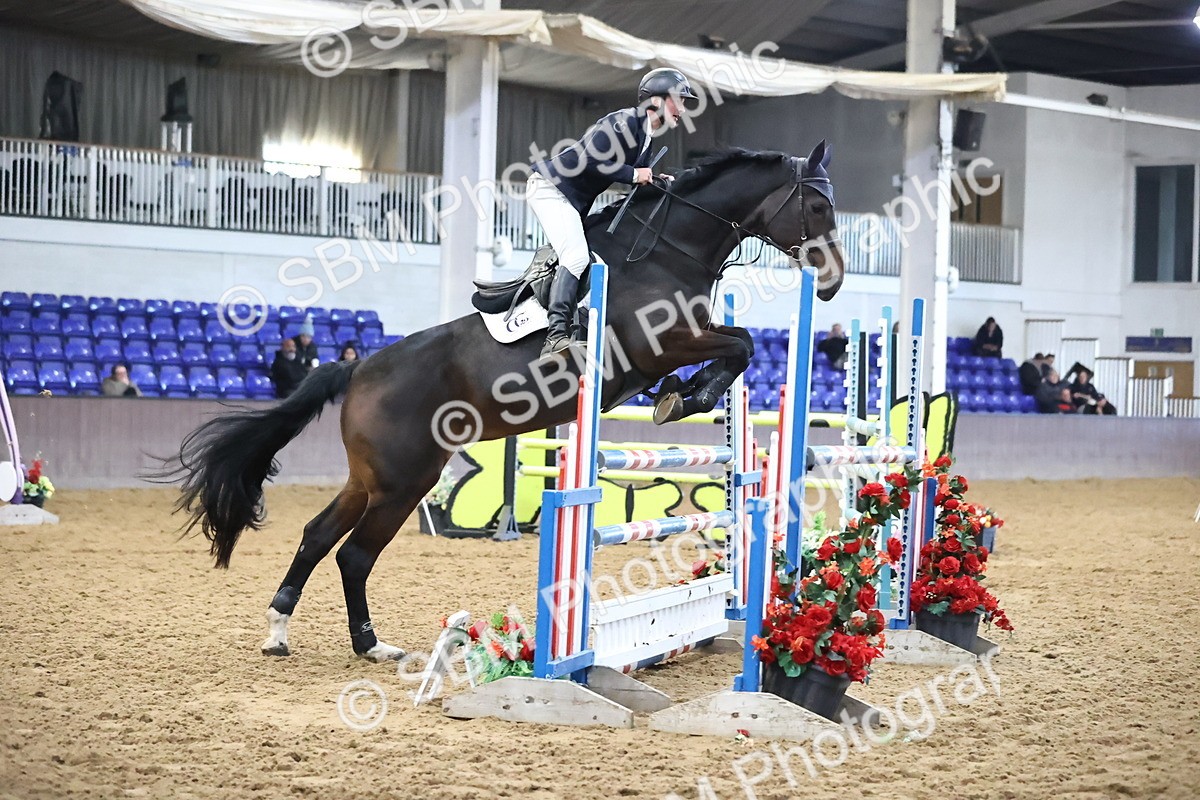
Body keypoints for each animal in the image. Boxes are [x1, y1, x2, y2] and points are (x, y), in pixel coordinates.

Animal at [159, 142, 846, 662]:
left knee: (316, 536)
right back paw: (369, 644)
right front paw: (687, 395)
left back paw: (284, 631)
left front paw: (685, 394)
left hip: (370, 478)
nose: (834, 281)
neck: (668, 252)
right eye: (817, 204)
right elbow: (740, 344)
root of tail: (357, 369)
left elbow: (738, 344)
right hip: (405, 479)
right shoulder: (662, 343)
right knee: (353, 554)